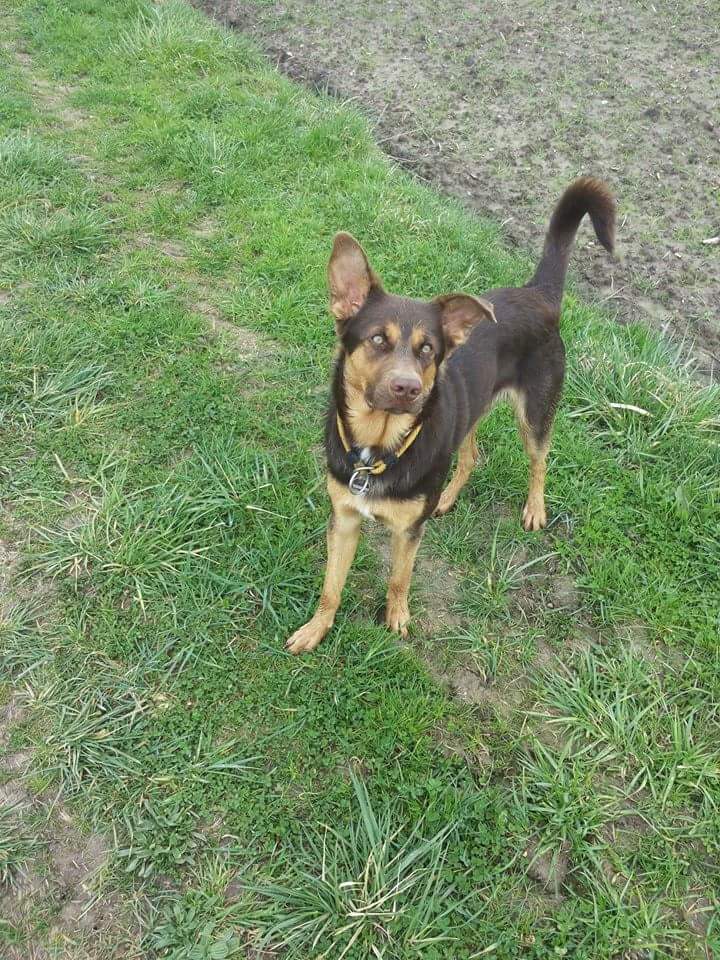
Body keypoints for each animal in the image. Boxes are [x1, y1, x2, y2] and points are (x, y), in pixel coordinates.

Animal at [286, 176, 612, 656]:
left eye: (427, 350)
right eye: (378, 340)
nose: (408, 388)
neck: (377, 448)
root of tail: (537, 293)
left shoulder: (408, 532)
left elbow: (399, 579)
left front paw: (397, 620)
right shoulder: (343, 518)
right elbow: (331, 587)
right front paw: (315, 629)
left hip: (536, 411)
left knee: (539, 461)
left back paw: (535, 509)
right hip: (471, 412)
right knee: (472, 455)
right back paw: (447, 497)